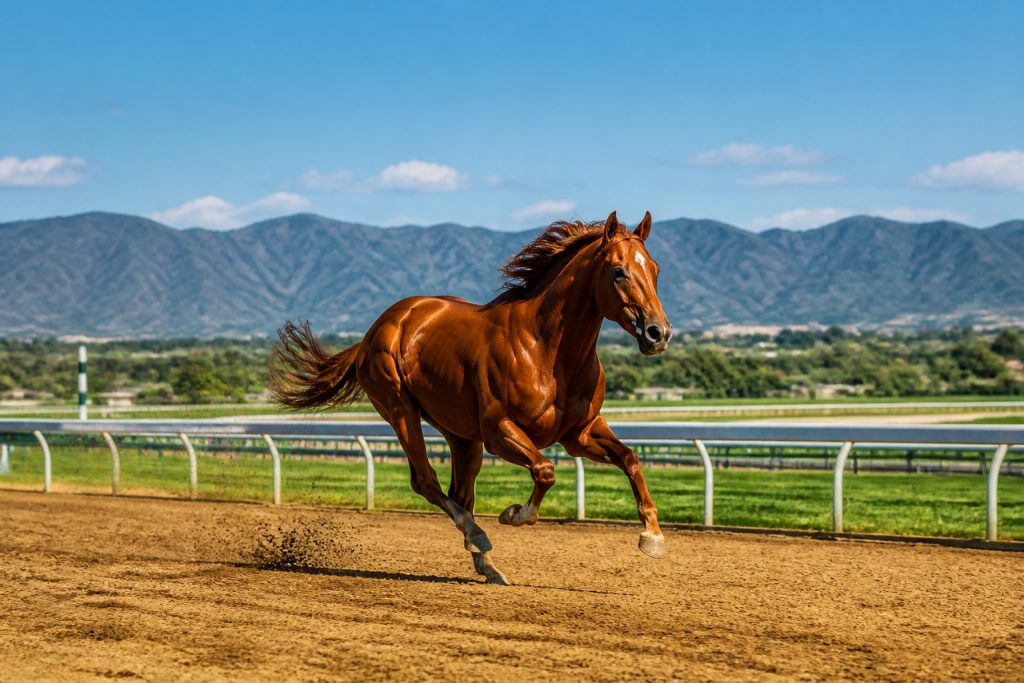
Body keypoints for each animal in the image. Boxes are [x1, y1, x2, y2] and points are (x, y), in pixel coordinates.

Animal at [268, 211, 671, 584]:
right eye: (618, 272)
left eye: (654, 268)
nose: (658, 333)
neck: (548, 350)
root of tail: (374, 332)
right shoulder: (499, 431)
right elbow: (545, 471)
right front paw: (514, 514)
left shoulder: (580, 433)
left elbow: (631, 459)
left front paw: (652, 536)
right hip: (401, 411)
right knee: (426, 481)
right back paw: (477, 534)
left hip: (460, 434)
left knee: (459, 491)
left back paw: (487, 564)